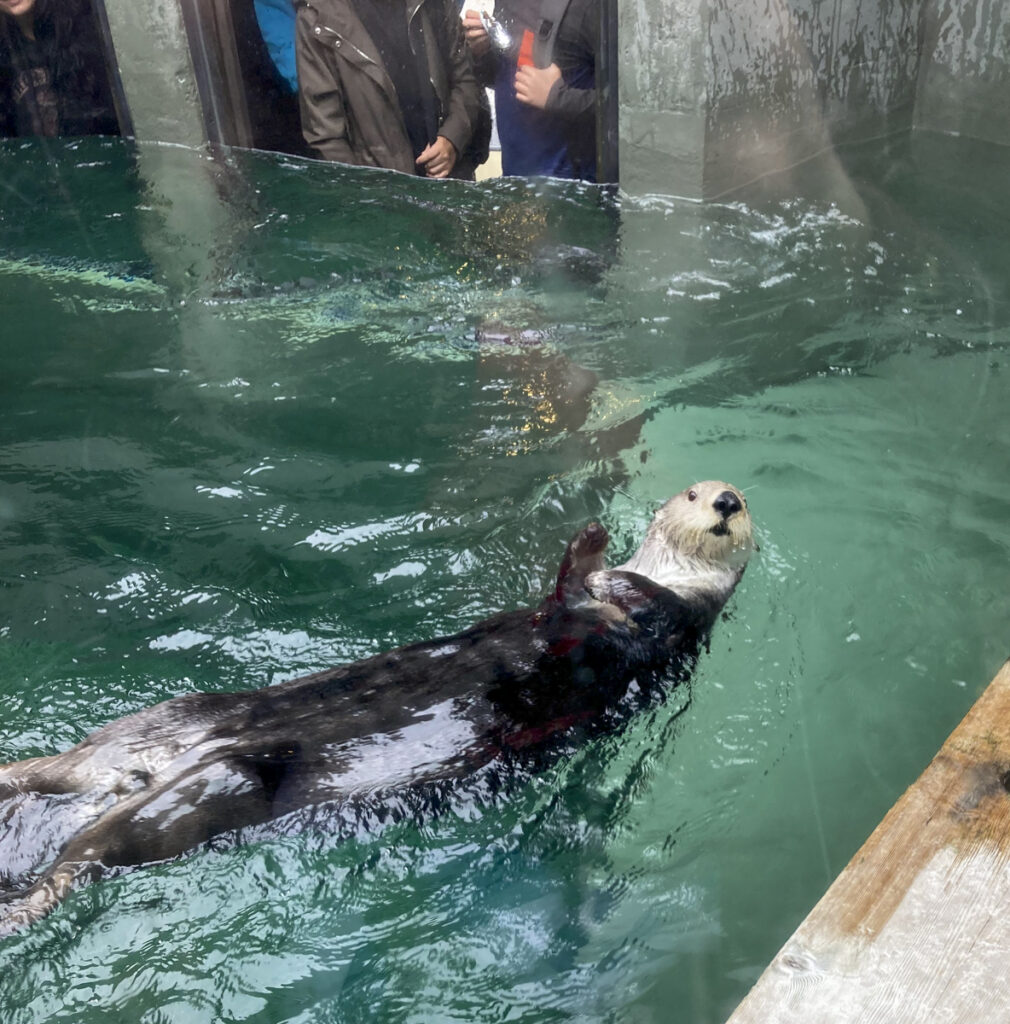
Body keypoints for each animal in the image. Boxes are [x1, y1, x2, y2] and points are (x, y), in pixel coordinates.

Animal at [0, 481, 752, 935]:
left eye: (736, 499)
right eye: (691, 491)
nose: (725, 499)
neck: (664, 583)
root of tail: (144, 773)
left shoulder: (652, 631)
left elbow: (576, 622)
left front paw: (586, 550)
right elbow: (565, 606)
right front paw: (590, 546)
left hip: (212, 789)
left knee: (92, 852)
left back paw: (27, 905)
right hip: (161, 722)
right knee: (61, 772)